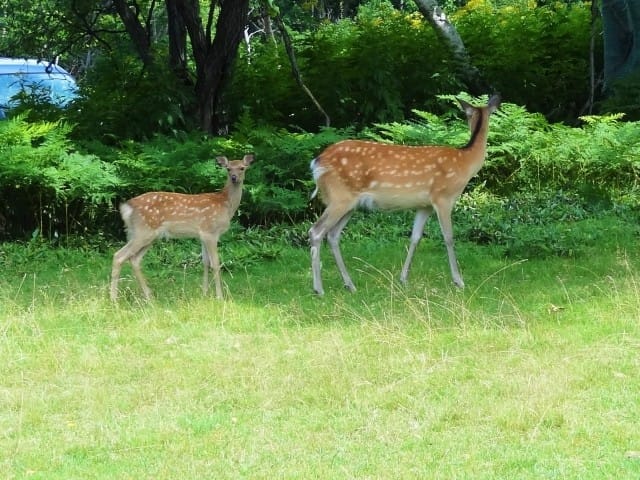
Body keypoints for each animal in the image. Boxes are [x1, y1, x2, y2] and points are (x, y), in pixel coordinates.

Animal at [110, 154, 252, 302]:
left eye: (242, 167)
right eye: (228, 169)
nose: (234, 177)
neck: (226, 205)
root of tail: (127, 207)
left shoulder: (202, 234)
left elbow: (205, 262)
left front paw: (204, 293)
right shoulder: (210, 231)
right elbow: (216, 264)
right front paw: (220, 297)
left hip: (144, 234)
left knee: (134, 259)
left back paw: (148, 296)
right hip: (143, 232)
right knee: (119, 256)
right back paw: (114, 299)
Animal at [308, 94, 500, 294]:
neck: (465, 163)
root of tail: (317, 163)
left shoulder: (424, 205)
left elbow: (415, 237)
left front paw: (403, 279)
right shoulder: (443, 198)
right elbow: (448, 237)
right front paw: (458, 281)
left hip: (349, 203)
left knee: (333, 235)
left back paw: (350, 285)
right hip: (340, 197)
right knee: (316, 231)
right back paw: (319, 289)